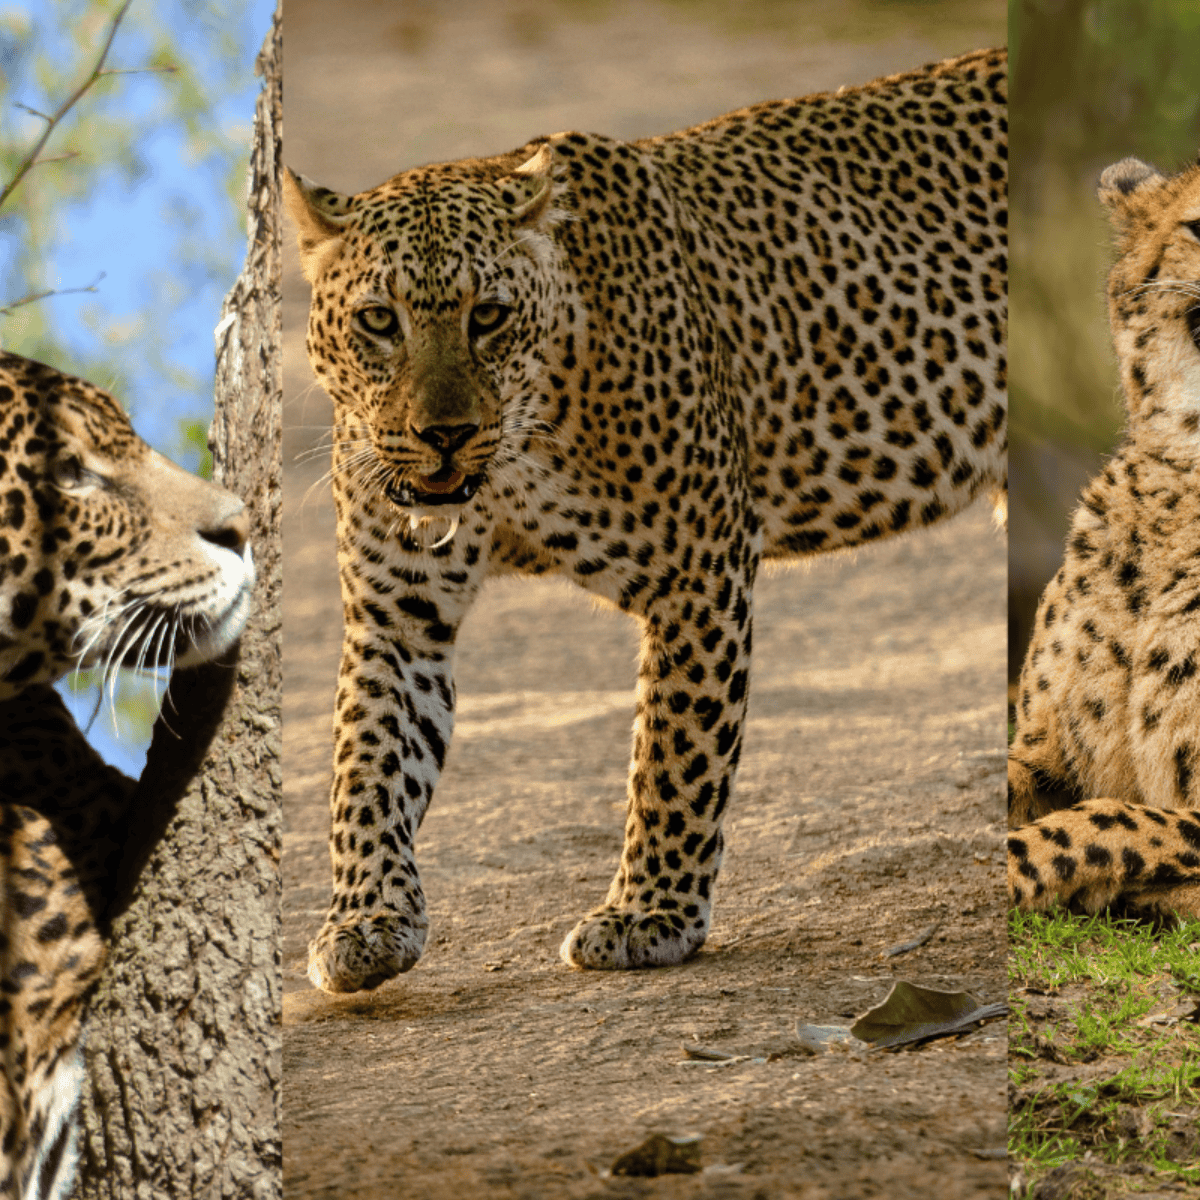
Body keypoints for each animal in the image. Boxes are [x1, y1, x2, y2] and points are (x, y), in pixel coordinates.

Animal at [284, 47, 1009, 995]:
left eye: (489, 315)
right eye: (379, 321)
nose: (444, 434)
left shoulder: (699, 572)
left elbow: (676, 751)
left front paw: (648, 915)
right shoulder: (396, 616)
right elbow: (366, 767)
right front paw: (366, 920)